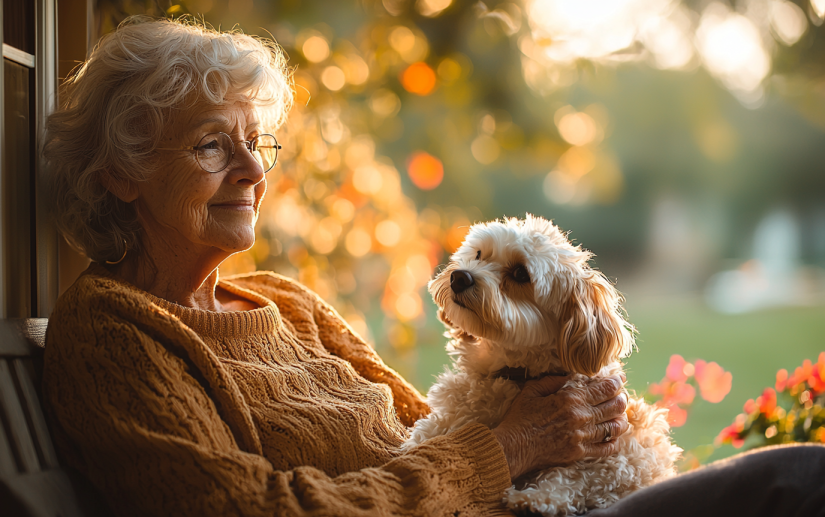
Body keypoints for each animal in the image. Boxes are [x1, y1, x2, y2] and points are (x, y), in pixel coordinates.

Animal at [402, 215, 680, 516]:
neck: (513, 371)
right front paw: (414, 446)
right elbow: (434, 429)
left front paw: (537, 499)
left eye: (520, 274)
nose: (459, 277)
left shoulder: (617, 459)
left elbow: (573, 478)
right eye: (478, 254)